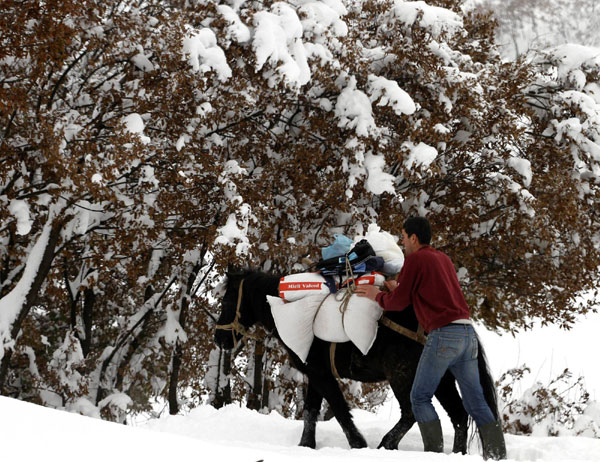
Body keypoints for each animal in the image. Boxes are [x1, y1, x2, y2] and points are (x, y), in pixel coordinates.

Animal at [213, 268, 500, 450]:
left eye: (226, 301)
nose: (219, 339)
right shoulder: (316, 375)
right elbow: (311, 410)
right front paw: (306, 446)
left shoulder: (321, 375)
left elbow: (339, 410)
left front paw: (358, 444)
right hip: (440, 378)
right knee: (459, 415)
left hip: (403, 376)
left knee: (411, 412)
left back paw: (386, 444)